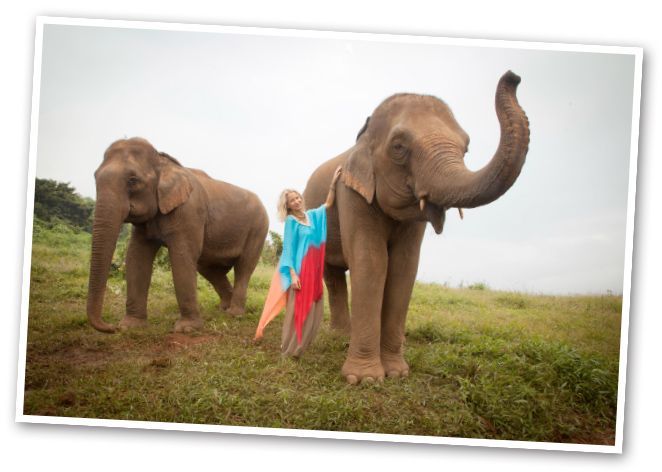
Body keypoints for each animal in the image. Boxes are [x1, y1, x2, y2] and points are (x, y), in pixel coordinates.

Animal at [86, 137, 269, 333]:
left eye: (133, 180)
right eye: (95, 177)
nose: (112, 327)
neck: (163, 161)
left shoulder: (188, 212)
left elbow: (181, 256)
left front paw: (186, 329)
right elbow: (136, 257)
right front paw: (130, 325)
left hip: (258, 228)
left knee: (243, 267)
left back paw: (234, 314)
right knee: (208, 269)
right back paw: (224, 309)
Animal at [303, 71, 529, 384]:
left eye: (467, 147)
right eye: (399, 147)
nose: (513, 76)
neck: (364, 136)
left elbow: (404, 266)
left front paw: (397, 373)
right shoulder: (351, 194)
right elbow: (371, 261)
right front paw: (364, 380)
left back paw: (343, 336)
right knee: (332, 274)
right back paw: (338, 336)